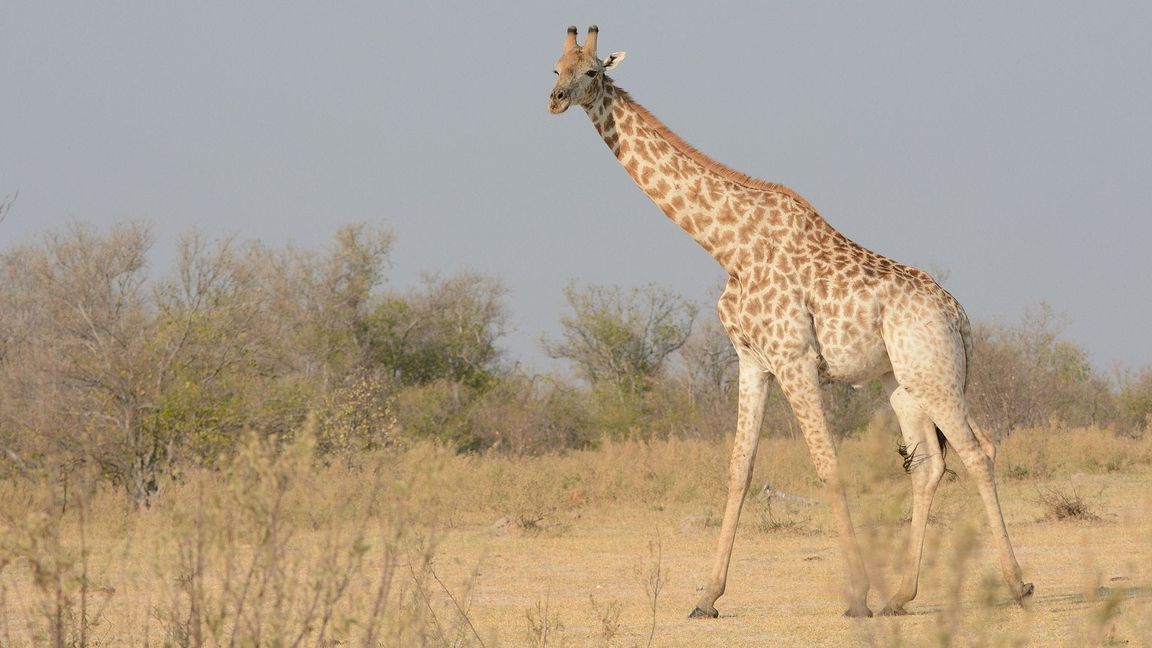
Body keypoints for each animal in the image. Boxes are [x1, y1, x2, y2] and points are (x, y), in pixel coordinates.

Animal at [547, 25, 1033, 618]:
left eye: (591, 71)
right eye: (555, 67)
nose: (555, 100)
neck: (726, 245)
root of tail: (960, 316)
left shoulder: (794, 357)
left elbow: (828, 464)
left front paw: (857, 597)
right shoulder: (752, 360)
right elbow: (739, 468)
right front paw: (706, 598)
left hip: (935, 373)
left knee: (978, 452)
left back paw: (1016, 585)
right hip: (905, 383)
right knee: (930, 464)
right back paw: (902, 595)